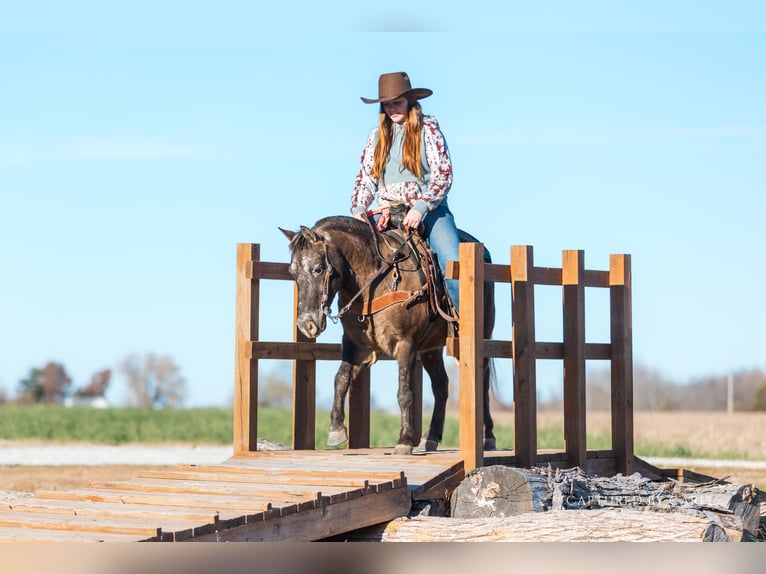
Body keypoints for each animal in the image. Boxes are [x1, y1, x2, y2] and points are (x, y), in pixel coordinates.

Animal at [280, 215, 496, 455]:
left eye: (318, 269)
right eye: (293, 272)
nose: (306, 325)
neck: (374, 283)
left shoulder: (405, 344)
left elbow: (404, 392)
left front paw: (404, 441)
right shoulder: (355, 345)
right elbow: (341, 379)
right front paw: (336, 430)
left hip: (483, 338)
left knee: (483, 380)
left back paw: (488, 438)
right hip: (431, 349)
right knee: (441, 385)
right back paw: (430, 437)